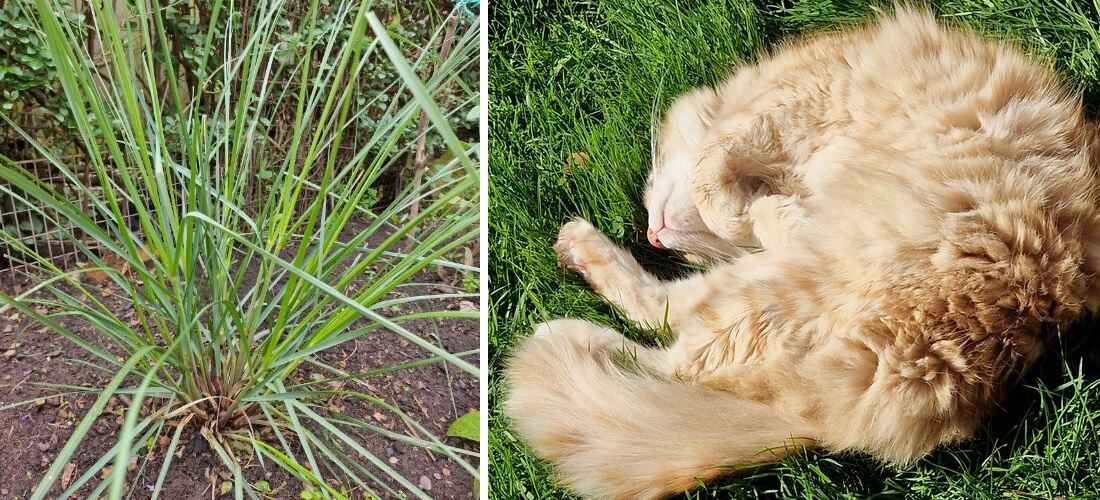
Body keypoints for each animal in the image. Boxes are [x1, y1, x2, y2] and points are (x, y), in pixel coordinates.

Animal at [503, 8, 1100, 500]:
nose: (652, 235)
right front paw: (766, 206)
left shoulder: (783, 109)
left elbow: (710, 182)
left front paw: (759, 210)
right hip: (768, 295)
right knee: (669, 346)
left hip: (778, 288)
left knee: (667, 338)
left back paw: (568, 311)